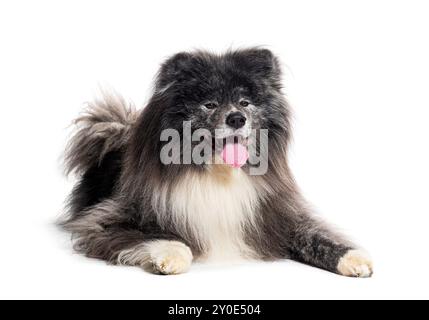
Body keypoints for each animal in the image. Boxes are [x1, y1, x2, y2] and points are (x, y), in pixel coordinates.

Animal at [61, 48, 372, 278]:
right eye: (209, 104)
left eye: (245, 102)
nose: (236, 118)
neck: (219, 173)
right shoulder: (104, 222)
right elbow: (162, 239)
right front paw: (170, 257)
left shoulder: (276, 215)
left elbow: (317, 237)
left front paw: (353, 257)